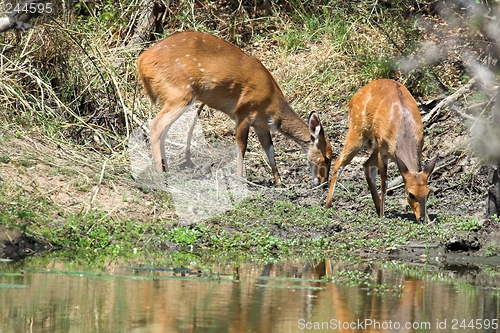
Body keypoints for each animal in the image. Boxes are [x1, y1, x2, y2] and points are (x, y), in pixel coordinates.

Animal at [137, 30, 332, 187]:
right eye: (327, 157)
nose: (323, 181)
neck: (272, 105)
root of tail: (142, 61)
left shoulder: (261, 125)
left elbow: (270, 150)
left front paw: (279, 183)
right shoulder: (243, 113)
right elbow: (241, 146)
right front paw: (240, 179)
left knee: (162, 130)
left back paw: (167, 169)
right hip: (179, 94)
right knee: (156, 126)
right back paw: (161, 174)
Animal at [324, 79, 438, 222]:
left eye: (428, 193)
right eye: (410, 194)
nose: (421, 218)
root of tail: (352, 100)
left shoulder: (419, 149)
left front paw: (429, 219)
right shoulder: (383, 151)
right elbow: (384, 183)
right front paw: (383, 215)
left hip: (374, 144)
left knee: (366, 164)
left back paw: (377, 207)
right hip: (357, 132)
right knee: (339, 162)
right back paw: (327, 204)